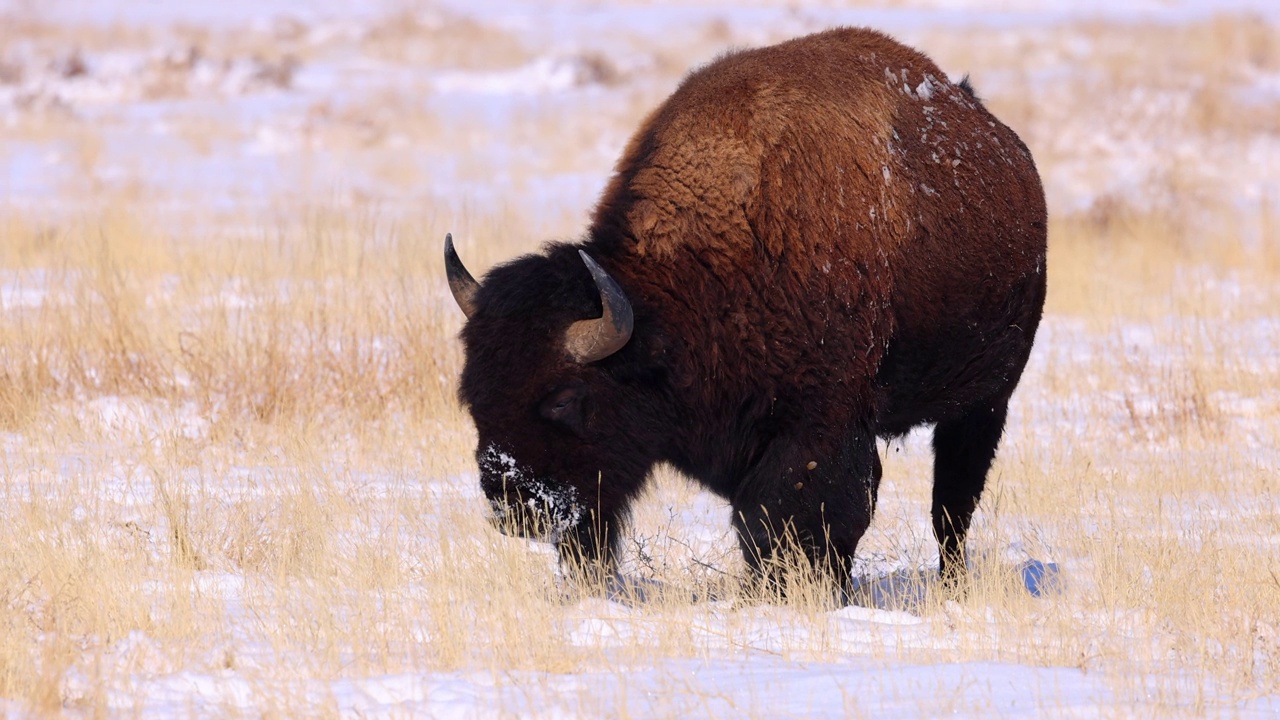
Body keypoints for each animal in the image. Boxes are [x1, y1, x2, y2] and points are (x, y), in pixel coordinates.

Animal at [445, 25, 1044, 591]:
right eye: (473, 393)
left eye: (565, 399)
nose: (511, 503)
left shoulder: (819, 428)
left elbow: (798, 516)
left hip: (985, 402)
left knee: (953, 506)